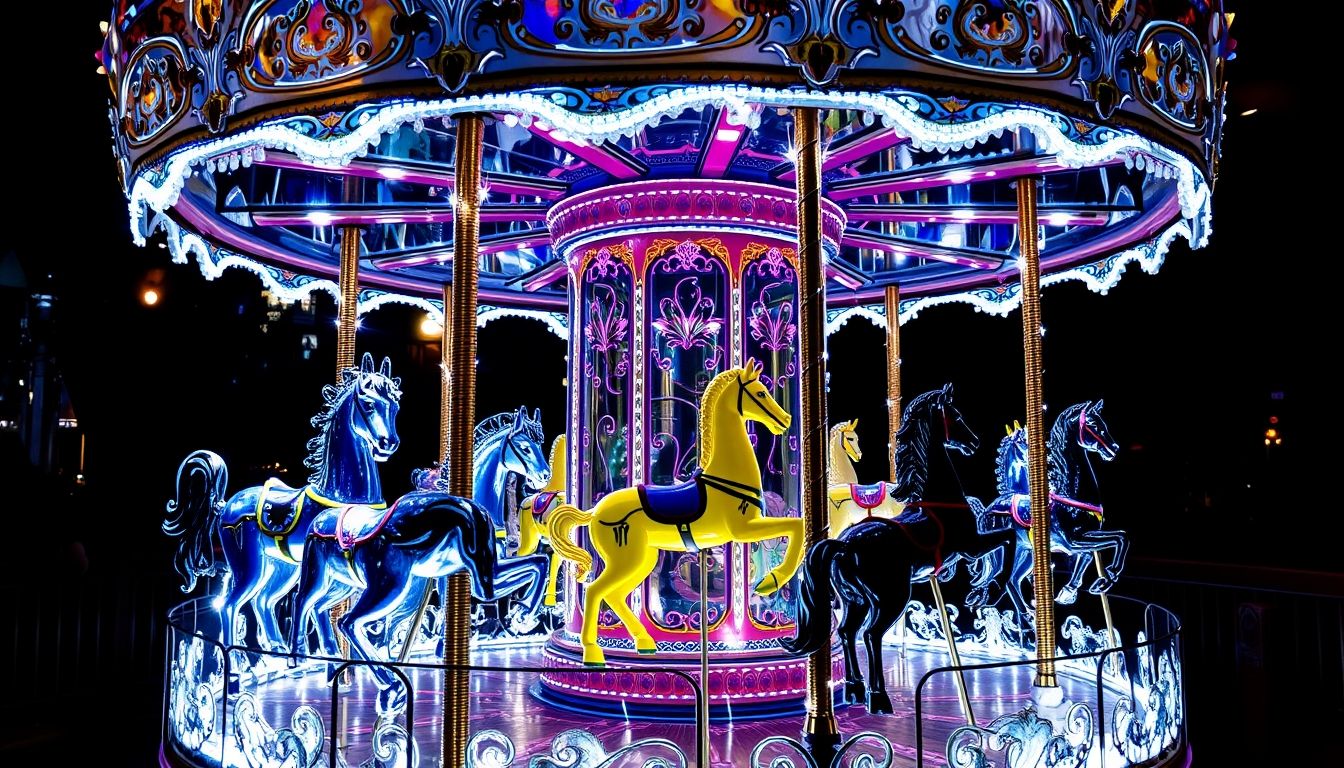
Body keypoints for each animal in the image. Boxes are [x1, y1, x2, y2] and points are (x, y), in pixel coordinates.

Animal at [161, 352, 397, 650]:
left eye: (395, 405)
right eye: (368, 403)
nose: (388, 443)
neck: (343, 494)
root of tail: (225, 505)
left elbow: (323, 615)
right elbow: (319, 610)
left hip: (283, 568)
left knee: (263, 602)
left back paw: (276, 650)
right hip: (250, 566)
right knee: (230, 605)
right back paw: (237, 657)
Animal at [553, 360, 801, 667]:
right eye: (761, 392)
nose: (787, 419)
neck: (726, 476)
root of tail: (593, 511)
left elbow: (796, 526)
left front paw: (770, 580)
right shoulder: (743, 528)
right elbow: (796, 526)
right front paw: (770, 581)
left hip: (642, 559)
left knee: (616, 595)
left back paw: (645, 643)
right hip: (625, 559)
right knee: (595, 590)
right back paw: (593, 654)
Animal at [784, 384, 1010, 715]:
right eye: (955, 416)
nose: (974, 442)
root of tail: (845, 545)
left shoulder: (959, 554)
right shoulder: (970, 545)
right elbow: (1008, 538)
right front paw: (988, 588)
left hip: (854, 598)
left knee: (847, 631)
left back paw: (855, 689)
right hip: (890, 597)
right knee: (870, 634)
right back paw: (878, 697)